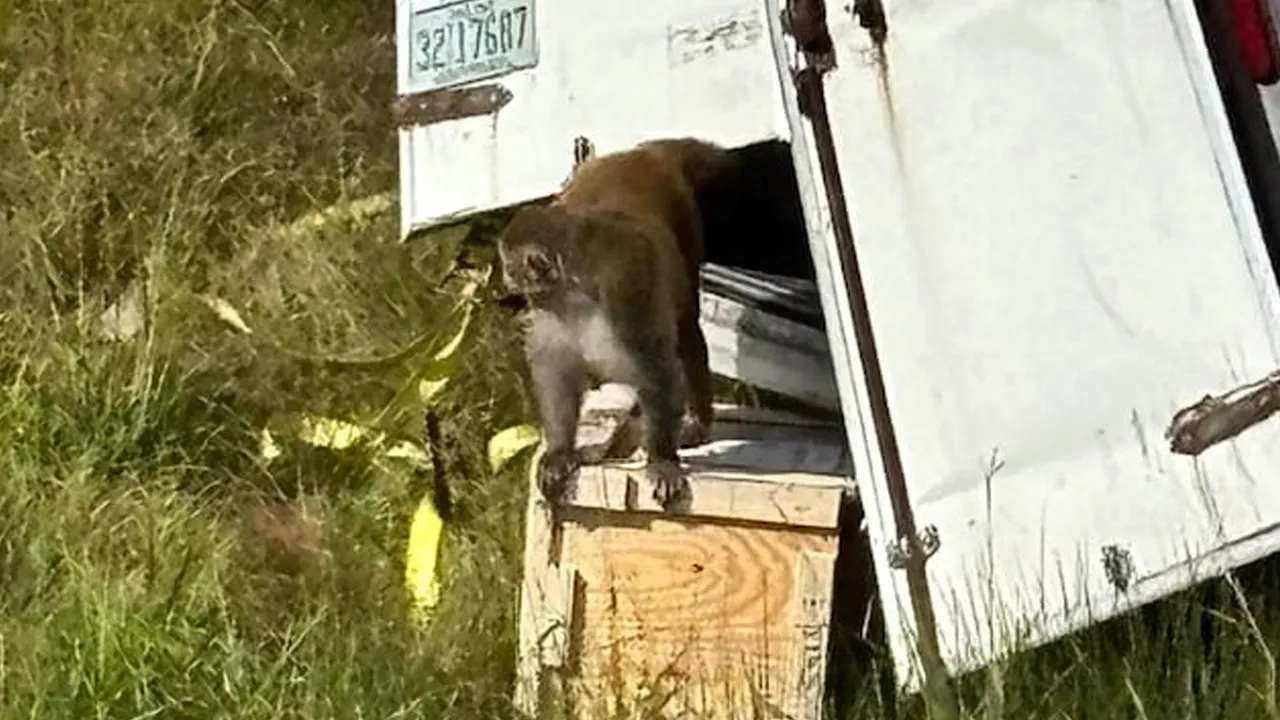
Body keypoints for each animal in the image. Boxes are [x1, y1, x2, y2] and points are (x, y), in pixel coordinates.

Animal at [496, 137, 733, 512]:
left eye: (509, 265)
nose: (505, 278)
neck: (575, 289)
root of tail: (640, 153)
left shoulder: (625, 289)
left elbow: (655, 367)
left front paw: (661, 460)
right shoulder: (551, 312)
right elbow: (558, 374)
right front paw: (560, 451)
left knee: (685, 330)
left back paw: (698, 421)